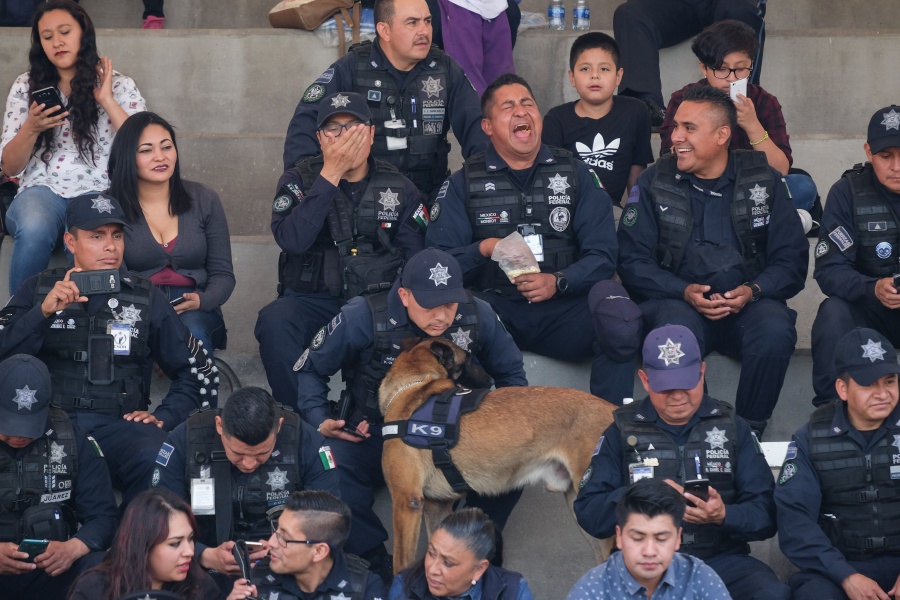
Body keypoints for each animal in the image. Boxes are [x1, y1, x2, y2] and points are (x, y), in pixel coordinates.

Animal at [376, 338, 616, 572]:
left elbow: (401, 562)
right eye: (468, 359)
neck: (411, 387)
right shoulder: (437, 506)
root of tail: (614, 409)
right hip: (581, 509)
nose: (490, 379)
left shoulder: (407, 502)